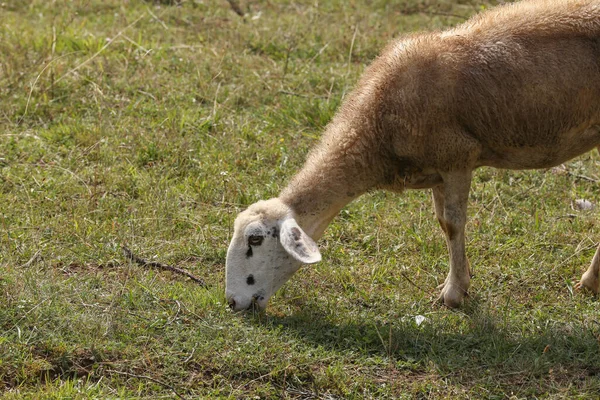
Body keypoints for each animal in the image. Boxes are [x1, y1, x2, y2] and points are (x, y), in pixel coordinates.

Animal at [224, 0, 600, 312]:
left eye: (254, 240)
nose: (231, 302)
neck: (374, 126)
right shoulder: (437, 169)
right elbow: (442, 223)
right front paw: (462, 280)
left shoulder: (458, 158)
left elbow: (454, 223)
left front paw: (453, 294)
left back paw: (589, 281)